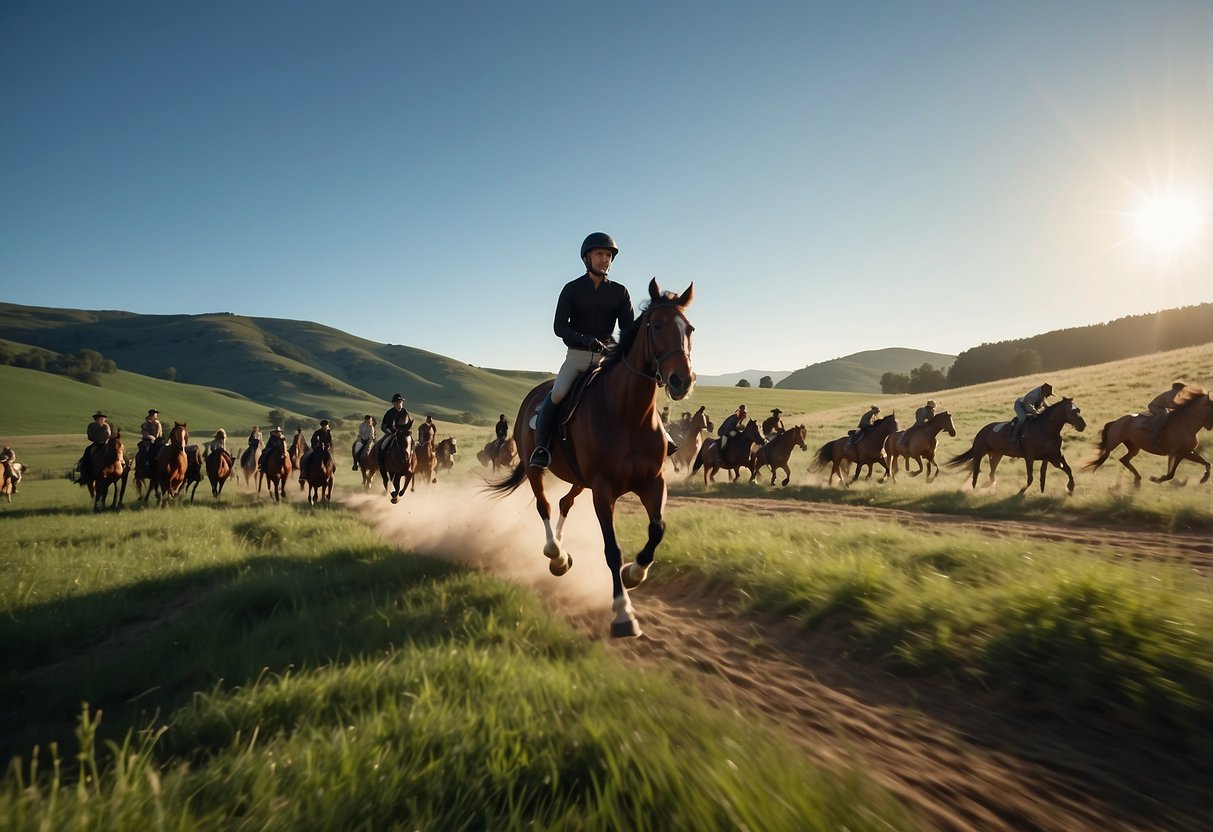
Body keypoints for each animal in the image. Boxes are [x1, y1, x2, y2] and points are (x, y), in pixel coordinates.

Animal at [482, 280, 693, 640]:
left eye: (689, 329)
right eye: (655, 326)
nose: (683, 380)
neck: (628, 414)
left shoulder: (652, 482)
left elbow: (657, 530)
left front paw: (634, 573)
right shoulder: (603, 489)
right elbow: (611, 549)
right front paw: (623, 613)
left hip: (580, 481)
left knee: (564, 503)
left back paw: (563, 554)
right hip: (539, 470)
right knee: (545, 506)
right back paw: (554, 555)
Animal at [946, 397, 1091, 494]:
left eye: (1078, 410)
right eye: (1073, 411)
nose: (1083, 425)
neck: (1046, 429)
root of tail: (982, 430)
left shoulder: (1054, 455)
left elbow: (1066, 469)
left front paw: (1070, 487)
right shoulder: (1030, 456)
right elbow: (1031, 477)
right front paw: (1022, 490)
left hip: (997, 454)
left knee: (991, 473)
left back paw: (988, 486)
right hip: (979, 452)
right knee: (976, 472)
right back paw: (974, 489)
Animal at [1081, 392, 1213, 489]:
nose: (1210, 426)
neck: (1186, 423)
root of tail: (1115, 422)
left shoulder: (1187, 451)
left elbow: (1206, 463)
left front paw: (1204, 478)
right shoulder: (1177, 453)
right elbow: (1170, 474)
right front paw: (1156, 479)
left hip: (1134, 447)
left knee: (1124, 460)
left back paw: (1137, 479)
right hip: (1113, 444)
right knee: (1106, 457)